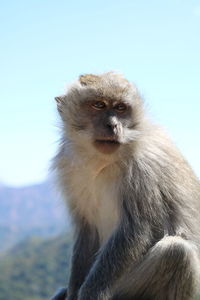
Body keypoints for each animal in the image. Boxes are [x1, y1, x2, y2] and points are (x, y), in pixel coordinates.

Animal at [50, 72, 200, 300]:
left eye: (121, 108)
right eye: (98, 105)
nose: (113, 125)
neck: (101, 161)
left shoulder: (142, 168)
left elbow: (136, 230)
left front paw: (91, 293)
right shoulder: (70, 168)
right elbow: (87, 230)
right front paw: (73, 291)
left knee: (176, 253)